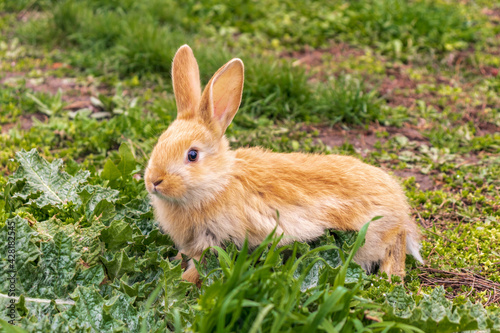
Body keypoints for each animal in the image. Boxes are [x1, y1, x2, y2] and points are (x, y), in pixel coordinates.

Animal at [145, 44, 422, 282]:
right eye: (160, 142)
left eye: (192, 155)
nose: (154, 181)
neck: (217, 184)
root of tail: (399, 204)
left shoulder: (213, 241)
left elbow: (199, 267)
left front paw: (182, 282)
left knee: (395, 242)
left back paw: (390, 275)